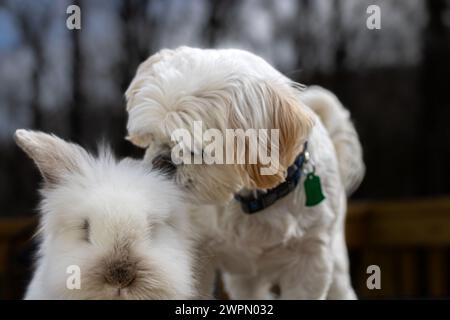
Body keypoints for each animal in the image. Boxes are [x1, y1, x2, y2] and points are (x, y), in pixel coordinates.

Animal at [125, 47, 364, 300]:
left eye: (197, 150)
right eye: (151, 137)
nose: (161, 161)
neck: (252, 200)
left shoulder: (310, 261)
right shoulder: (196, 252)